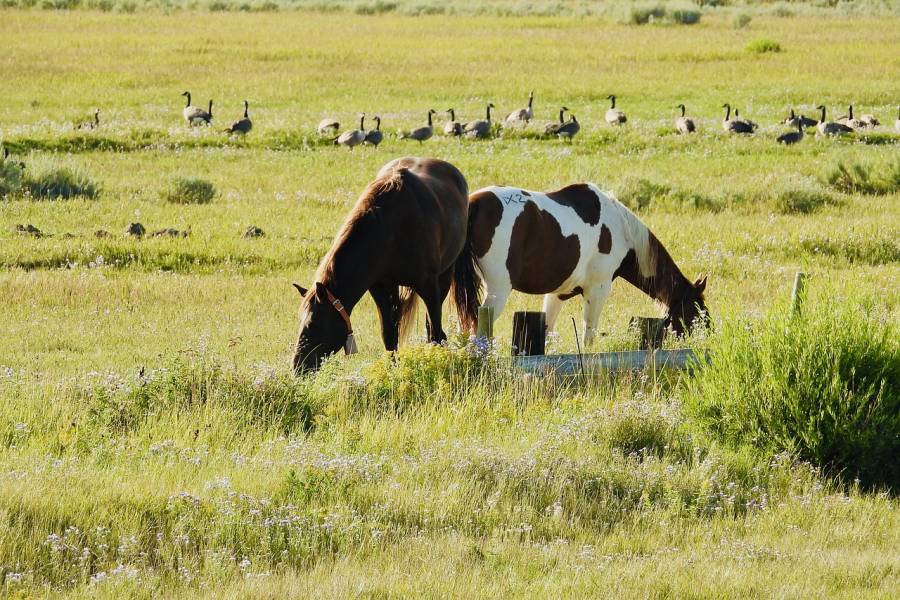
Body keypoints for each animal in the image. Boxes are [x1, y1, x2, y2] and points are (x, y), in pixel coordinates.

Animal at [294, 157, 472, 372]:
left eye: (313, 323)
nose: (298, 366)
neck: (390, 230)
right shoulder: (380, 287)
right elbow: (389, 334)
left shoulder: (429, 286)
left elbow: (434, 331)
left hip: (445, 276)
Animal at [458, 182, 712, 342]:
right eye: (697, 311)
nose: (707, 338)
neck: (622, 231)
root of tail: (474, 203)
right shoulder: (597, 290)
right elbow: (589, 336)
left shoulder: (558, 294)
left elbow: (547, 333)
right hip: (498, 291)